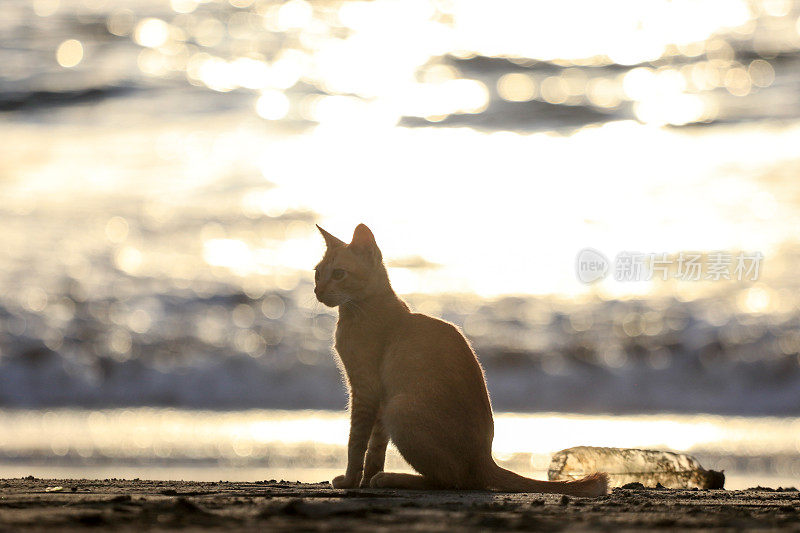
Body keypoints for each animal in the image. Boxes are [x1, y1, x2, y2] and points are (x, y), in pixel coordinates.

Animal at [312, 221, 608, 494]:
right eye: (317, 273)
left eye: (338, 274)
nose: (317, 291)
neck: (358, 311)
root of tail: (485, 459)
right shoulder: (380, 399)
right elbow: (375, 447)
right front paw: (365, 479)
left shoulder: (365, 390)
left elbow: (356, 442)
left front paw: (351, 480)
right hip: (394, 406)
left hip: (400, 408)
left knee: (451, 480)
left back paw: (393, 478)